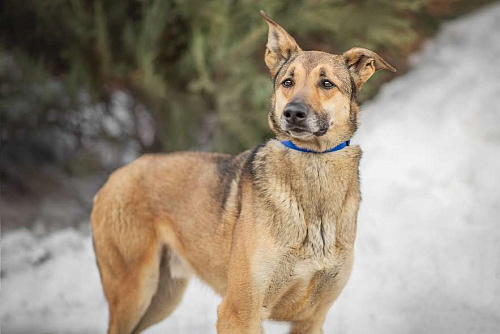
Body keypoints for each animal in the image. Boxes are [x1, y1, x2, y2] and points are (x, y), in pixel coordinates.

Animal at [90, 11, 394, 334]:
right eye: (288, 82)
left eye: (326, 83)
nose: (293, 113)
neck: (313, 166)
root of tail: (115, 176)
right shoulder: (238, 313)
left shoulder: (312, 319)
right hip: (135, 292)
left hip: (162, 298)